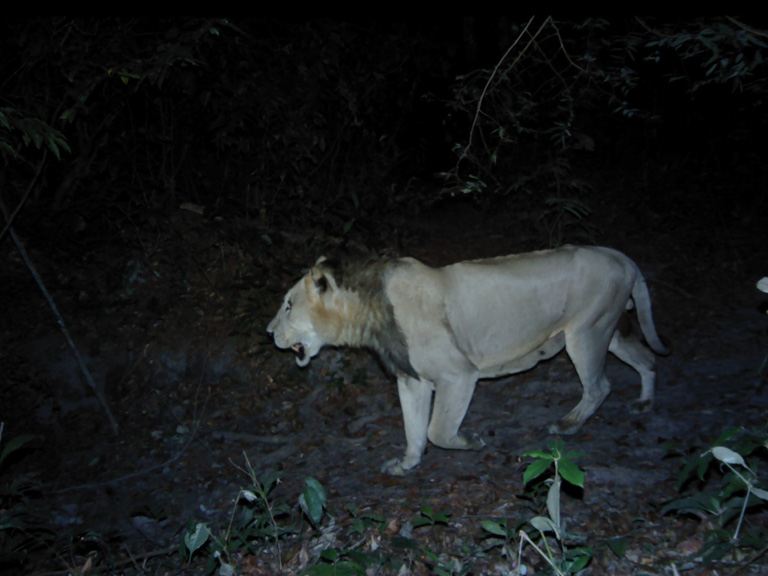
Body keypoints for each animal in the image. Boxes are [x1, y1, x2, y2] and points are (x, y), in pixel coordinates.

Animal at [268, 245, 668, 474]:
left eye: (288, 305)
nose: (269, 332)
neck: (368, 314)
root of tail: (622, 257)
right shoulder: (411, 379)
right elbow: (414, 429)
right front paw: (407, 464)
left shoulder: (458, 374)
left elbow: (438, 430)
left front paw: (471, 441)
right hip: (608, 331)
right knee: (646, 358)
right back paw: (645, 402)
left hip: (585, 334)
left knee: (600, 386)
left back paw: (567, 424)